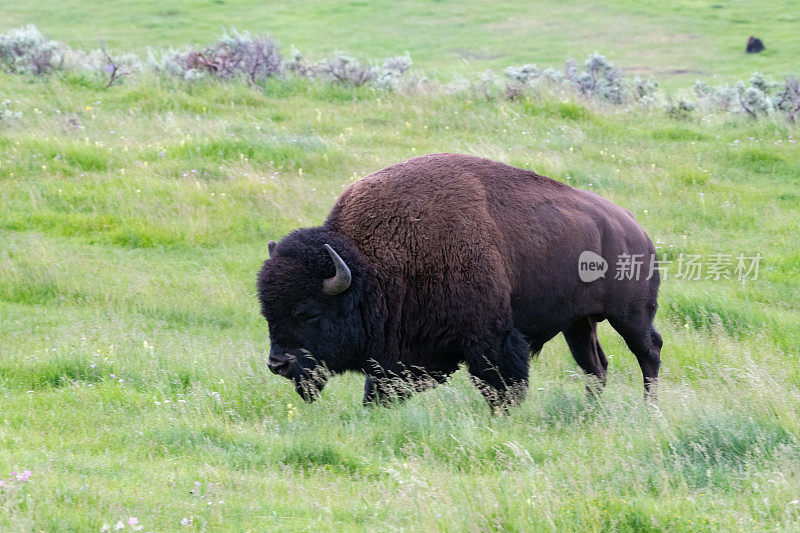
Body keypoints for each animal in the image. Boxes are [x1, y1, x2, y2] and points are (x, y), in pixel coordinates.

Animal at [258, 152, 664, 410]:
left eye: (309, 312)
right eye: (267, 313)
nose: (277, 364)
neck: (371, 267)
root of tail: (635, 227)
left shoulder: (490, 338)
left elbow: (502, 385)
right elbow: (379, 389)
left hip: (631, 315)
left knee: (649, 352)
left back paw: (650, 409)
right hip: (578, 323)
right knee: (596, 366)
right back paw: (590, 412)